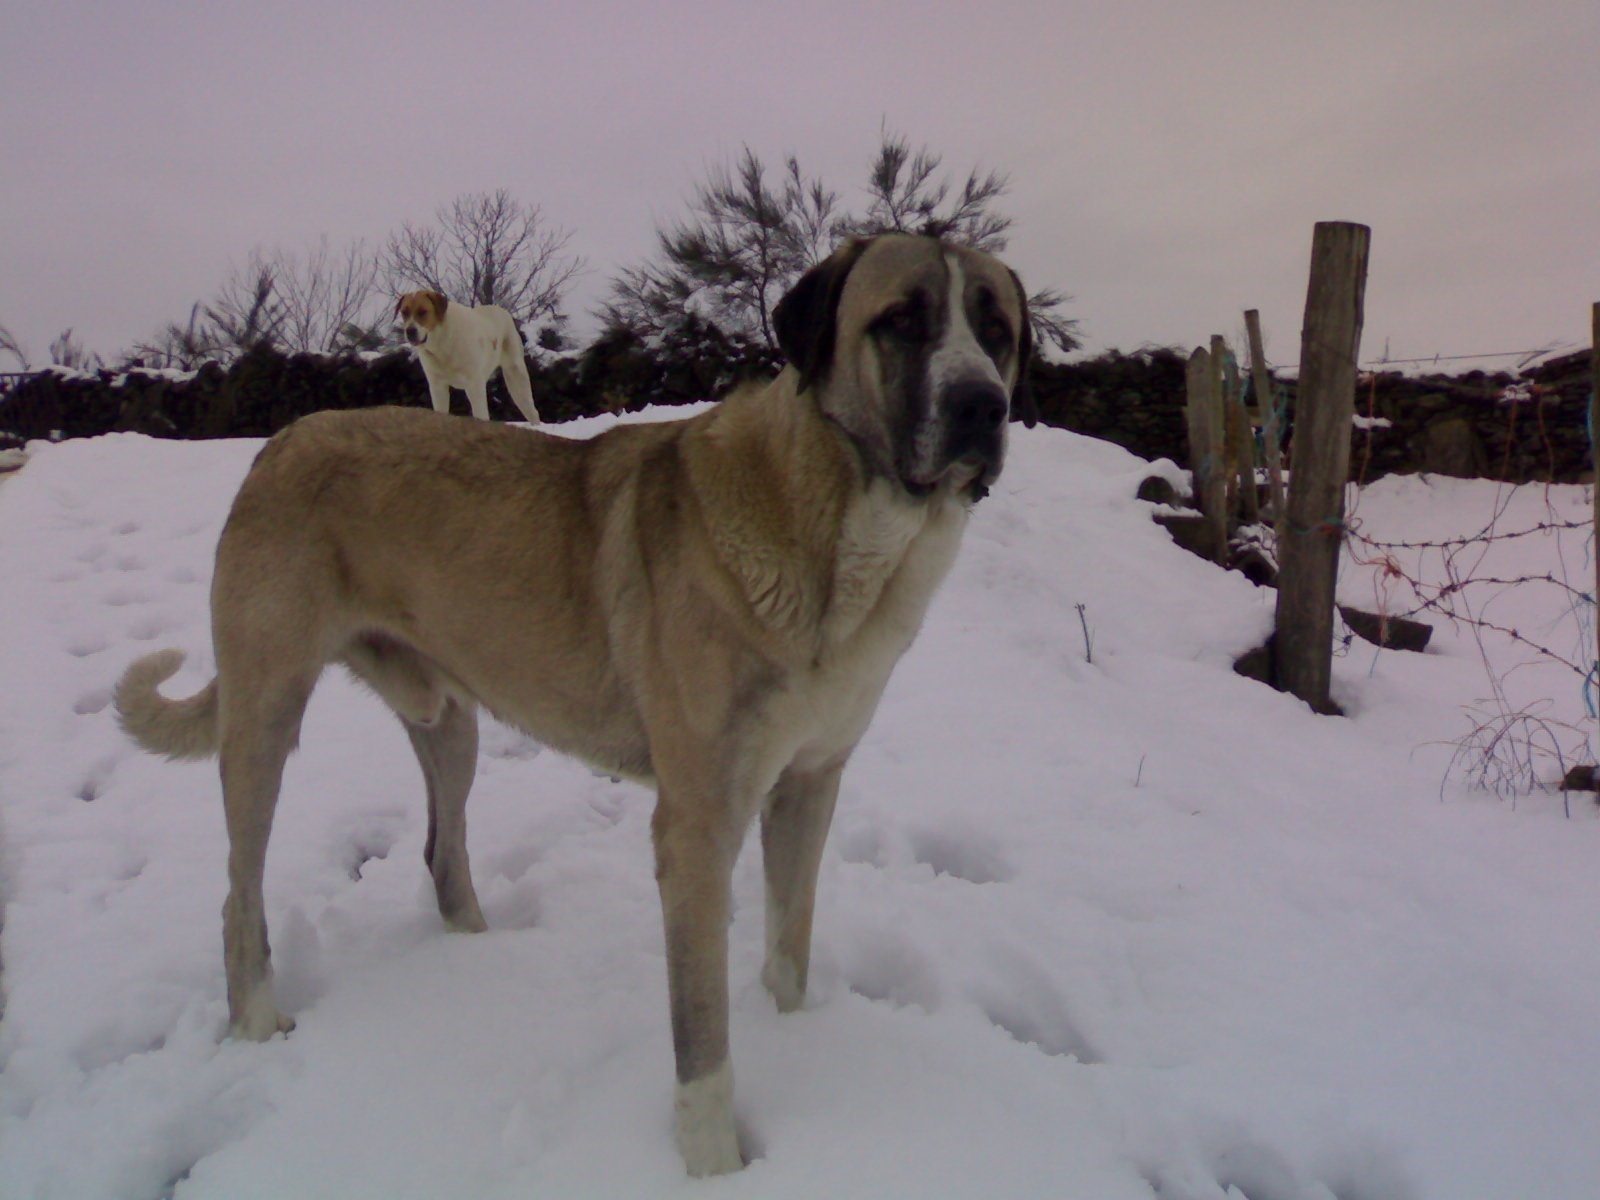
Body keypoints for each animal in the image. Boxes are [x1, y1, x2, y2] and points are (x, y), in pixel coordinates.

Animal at [395, 289, 540, 422]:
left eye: (423, 312)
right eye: (404, 312)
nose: (410, 331)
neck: (442, 342)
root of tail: (501, 310)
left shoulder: (474, 385)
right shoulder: (437, 387)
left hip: (516, 378)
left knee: (533, 412)